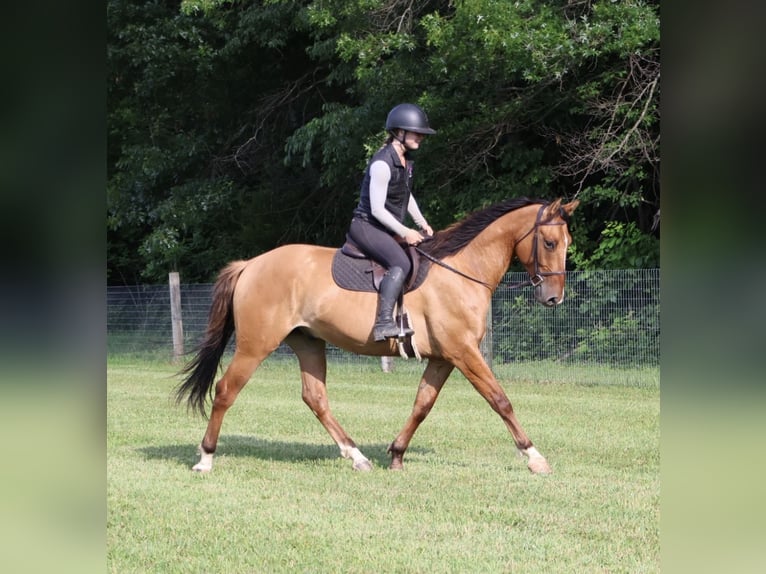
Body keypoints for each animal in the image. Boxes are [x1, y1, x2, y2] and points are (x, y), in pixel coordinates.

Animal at [176, 197, 579, 474]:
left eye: (567, 241)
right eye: (548, 242)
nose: (554, 298)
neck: (461, 271)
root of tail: (250, 265)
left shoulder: (443, 358)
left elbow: (422, 405)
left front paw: (397, 455)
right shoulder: (464, 353)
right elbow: (500, 400)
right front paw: (534, 457)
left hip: (308, 342)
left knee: (315, 398)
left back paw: (357, 457)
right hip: (255, 345)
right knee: (226, 390)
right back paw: (205, 459)